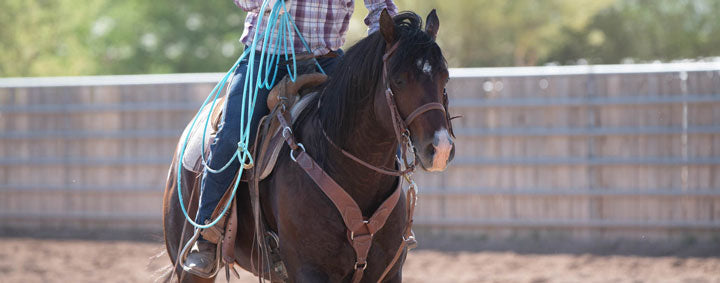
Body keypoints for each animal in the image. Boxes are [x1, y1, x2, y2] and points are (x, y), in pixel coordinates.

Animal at [163, 9, 456, 283]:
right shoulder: (310, 271)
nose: (440, 148)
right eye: (398, 80)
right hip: (188, 265)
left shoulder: (388, 272)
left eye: (445, 77)